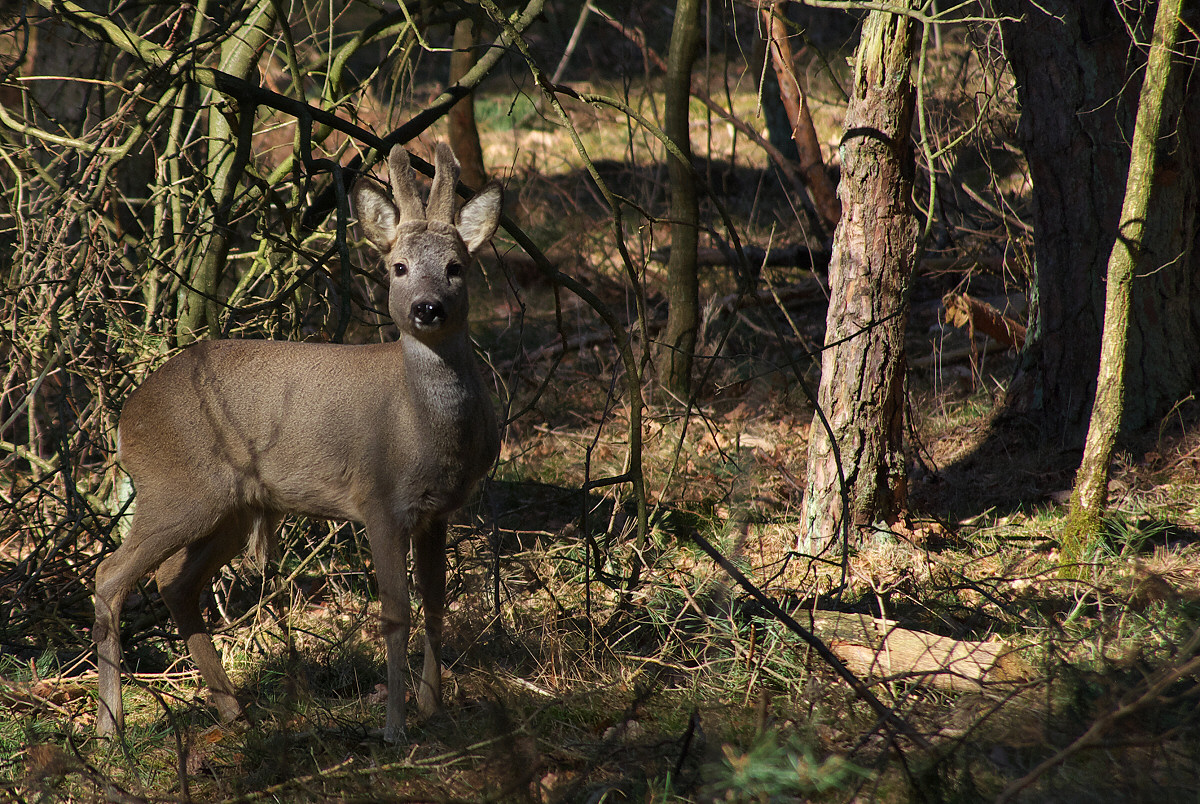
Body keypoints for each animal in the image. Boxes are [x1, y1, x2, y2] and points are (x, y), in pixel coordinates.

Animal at [94, 145, 501, 744]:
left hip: (233, 507)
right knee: (110, 575)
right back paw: (109, 729)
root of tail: (126, 420)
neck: (422, 427)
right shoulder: (379, 499)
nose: (427, 308)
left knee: (173, 583)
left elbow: (435, 602)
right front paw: (394, 728)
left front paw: (434, 708)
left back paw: (234, 712)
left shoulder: (437, 511)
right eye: (398, 268)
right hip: (177, 489)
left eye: (456, 267)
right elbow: (395, 613)